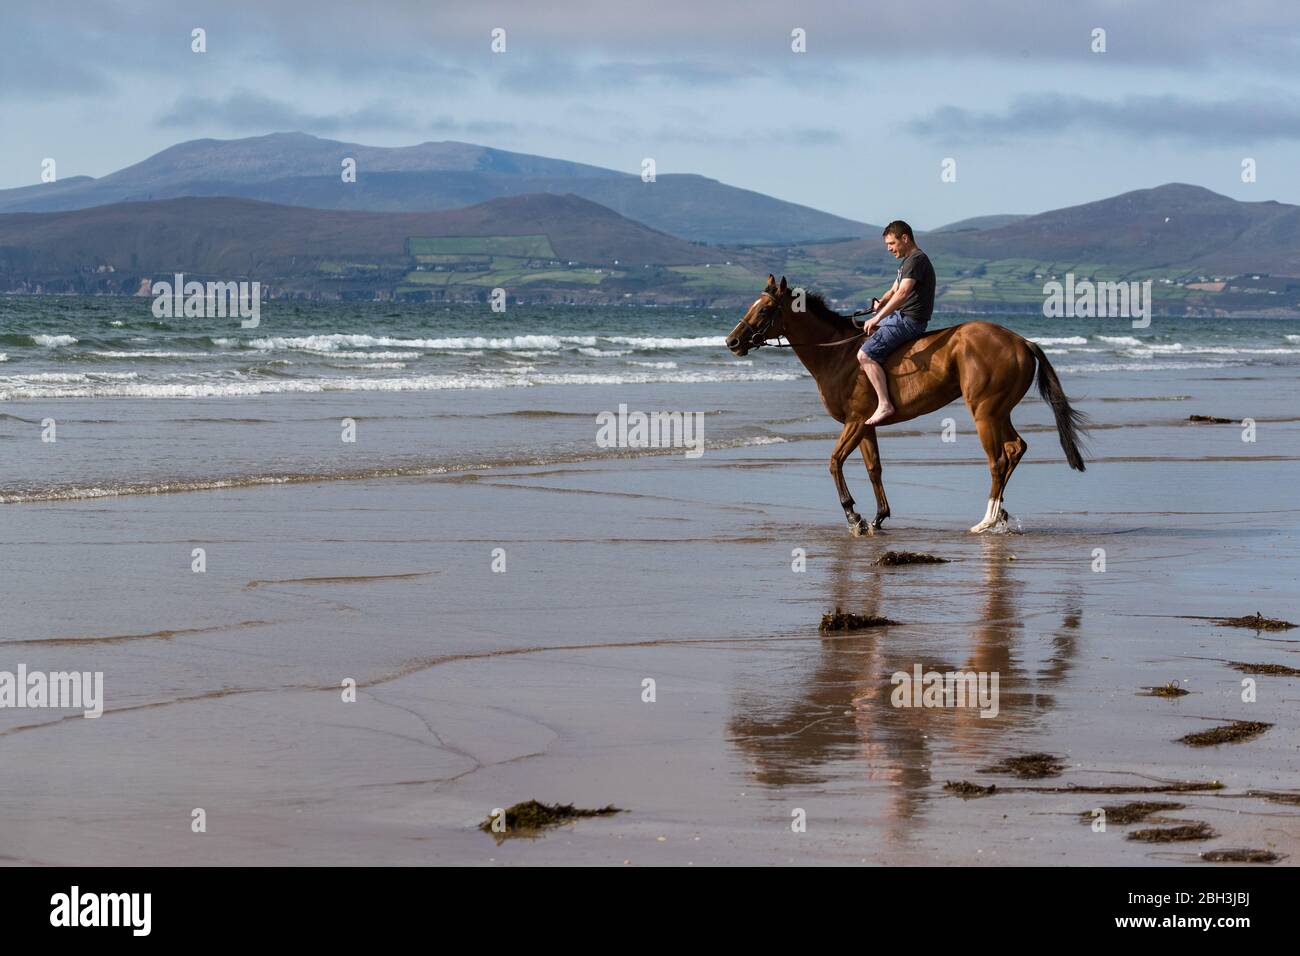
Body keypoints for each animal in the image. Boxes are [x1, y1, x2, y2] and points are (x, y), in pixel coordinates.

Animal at [733, 273, 1086, 535]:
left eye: (764, 309)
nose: (732, 341)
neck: (839, 355)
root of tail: (1021, 342)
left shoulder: (855, 421)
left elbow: (834, 462)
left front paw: (853, 516)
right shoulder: (865, 425)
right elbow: (874, 468)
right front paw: (877, 517)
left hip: (984, 412)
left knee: (998, 460)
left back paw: (987, 519)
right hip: (999, 410)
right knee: (1015, 448)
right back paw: (1000, 515)